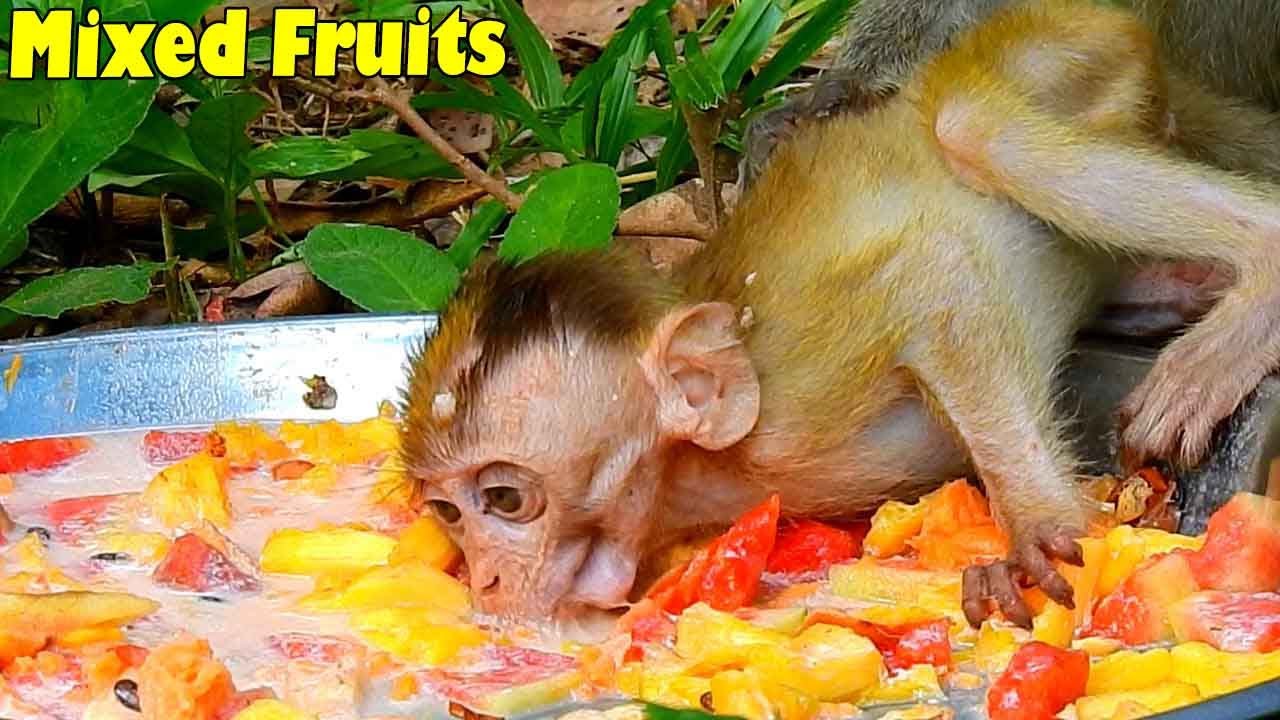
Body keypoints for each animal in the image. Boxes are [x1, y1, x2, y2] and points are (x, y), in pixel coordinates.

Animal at [400, 0, 1280, 630]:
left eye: (506, 500)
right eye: (447, 511)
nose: (487, 576)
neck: (695, 467)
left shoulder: (790, 409)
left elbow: (941, 275)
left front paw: (1040, 524)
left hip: (1073, 47)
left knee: (972, 126)